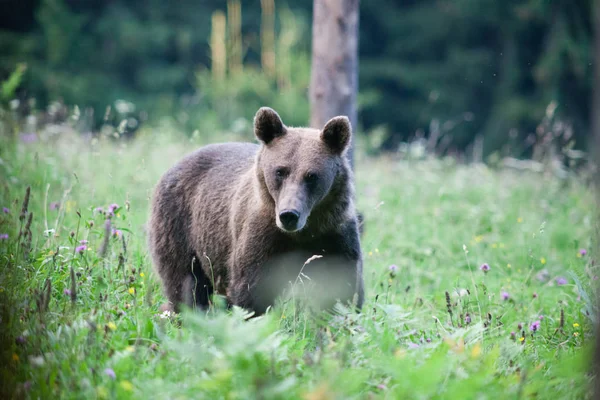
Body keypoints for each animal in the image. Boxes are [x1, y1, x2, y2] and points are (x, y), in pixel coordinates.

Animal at [148, 107, 364, 316]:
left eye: (312, 176)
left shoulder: (333, 234)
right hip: (181, 225)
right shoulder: (261, 237)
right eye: (280, 171)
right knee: (186, 282)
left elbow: (341, 291)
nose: (289, 215)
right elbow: (251, 290)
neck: (303, 232)